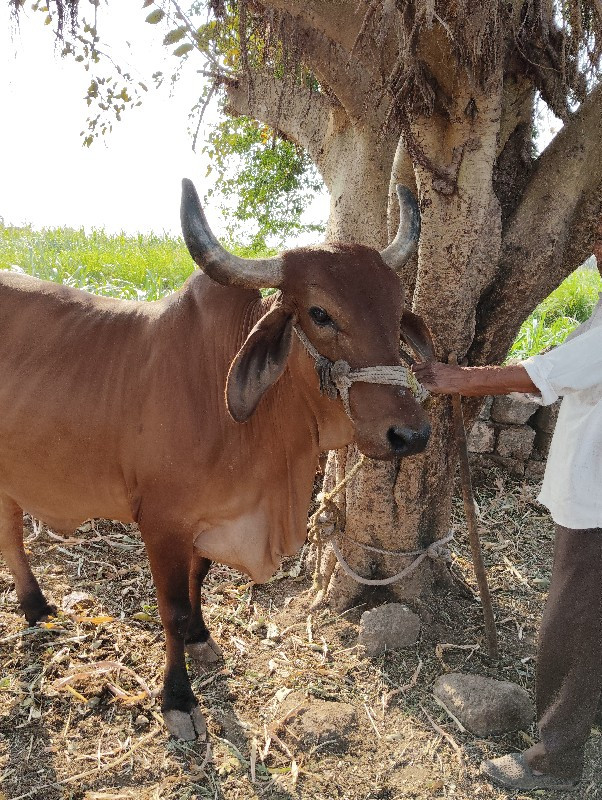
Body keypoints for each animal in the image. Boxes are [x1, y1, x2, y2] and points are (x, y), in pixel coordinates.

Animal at [0, 178, 432, 740]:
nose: (409, 434)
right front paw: (178, 699)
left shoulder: (210, 519)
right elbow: (174, 610)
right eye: (320, 313)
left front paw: (203, 640)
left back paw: (34, 606)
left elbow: (198, 580)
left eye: (397, 310)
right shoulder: (161, 522)